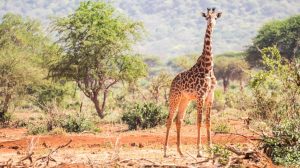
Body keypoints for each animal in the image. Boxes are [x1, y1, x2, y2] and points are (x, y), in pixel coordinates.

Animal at [163, 7, 221, 158]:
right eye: (207, 17)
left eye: (215, 18)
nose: (211, 24)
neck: (207, 67)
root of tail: (172, 81)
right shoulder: (201, 95)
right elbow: (199, 121)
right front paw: (199, 151)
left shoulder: (210, 96)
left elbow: (208, 122)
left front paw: (211, 149)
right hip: (174, 97)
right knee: (169, 119)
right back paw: (165, 151)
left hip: (185, 99)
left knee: (179, 120)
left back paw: (180, 151)